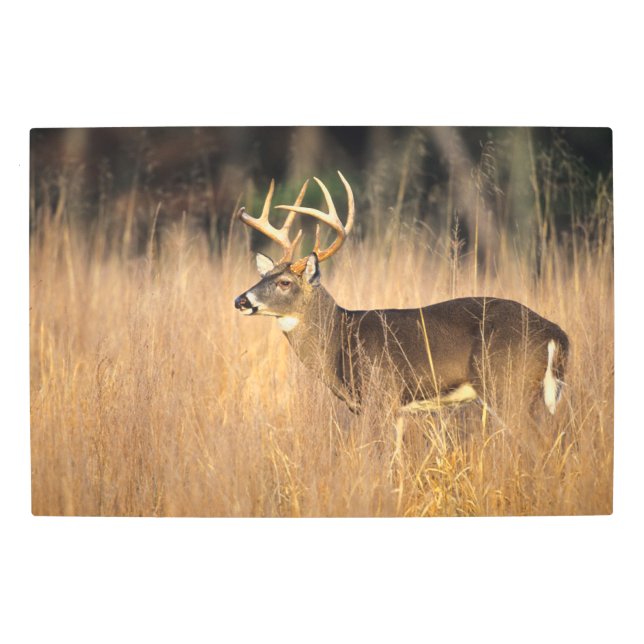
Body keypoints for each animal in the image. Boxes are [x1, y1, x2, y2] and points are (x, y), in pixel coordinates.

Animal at [234, 171, 569, 422]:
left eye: (285, 282)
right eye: (262, 277)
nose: (241, 300)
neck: (340, 338)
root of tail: (554, 332)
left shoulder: (380, 394)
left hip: (506, 385)